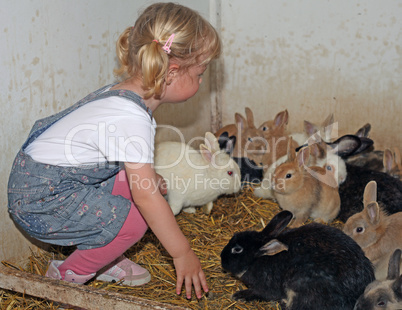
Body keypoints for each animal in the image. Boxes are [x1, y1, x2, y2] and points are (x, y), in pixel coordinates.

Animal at [220, 209, 374, 308]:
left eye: (237, 249)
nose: (222, 259)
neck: (259, 258)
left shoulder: (265, 287)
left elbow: (260, 293)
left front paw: (239, 295)